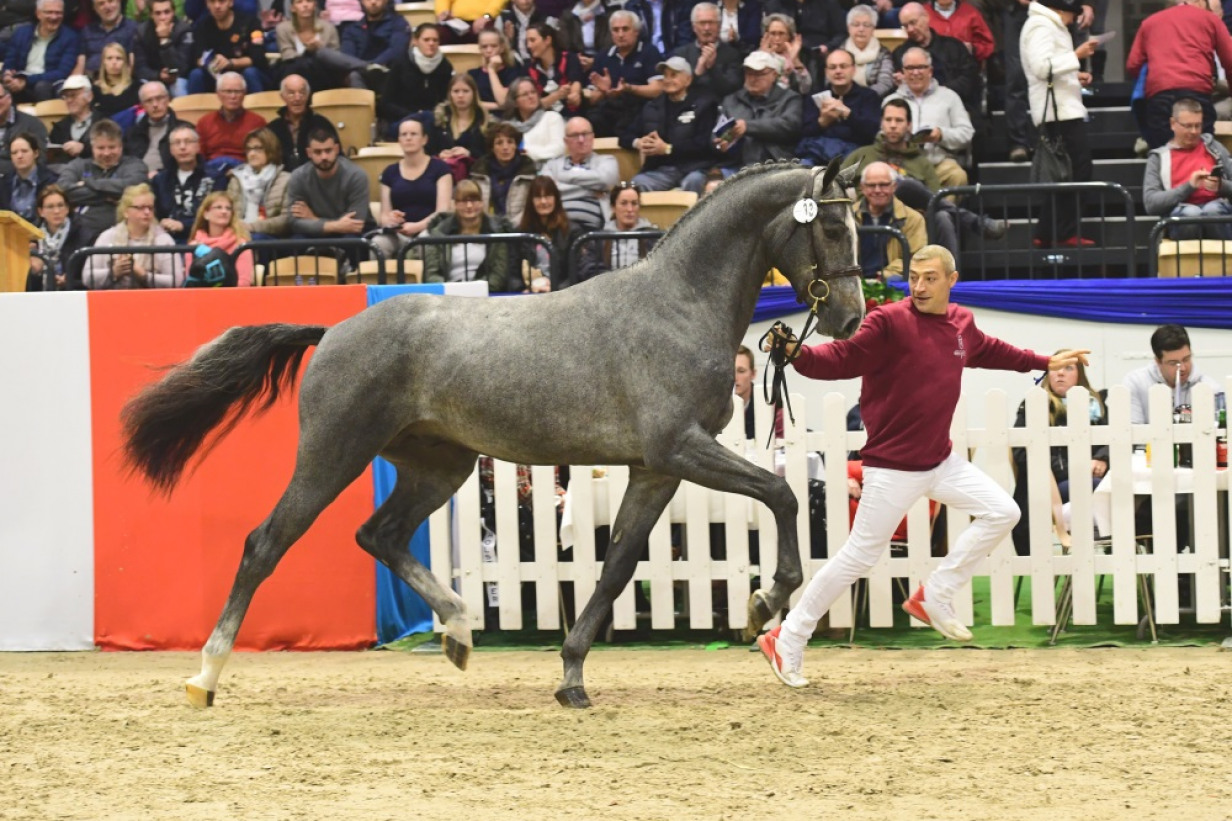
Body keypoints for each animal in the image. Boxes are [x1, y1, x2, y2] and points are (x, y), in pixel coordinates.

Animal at [121, 159, 866, 709]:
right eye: (831, 226)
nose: (852, 319)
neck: (677, 306)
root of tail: (332, 331)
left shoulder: (654, 469)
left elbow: (617, 565)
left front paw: (572, 677)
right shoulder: (679, 448)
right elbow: (781, 494)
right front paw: (762, 603)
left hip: (438, 466)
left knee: (379, 535)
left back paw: (457, 631)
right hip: (332, 455)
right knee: (266, 544)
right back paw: (204, 677)